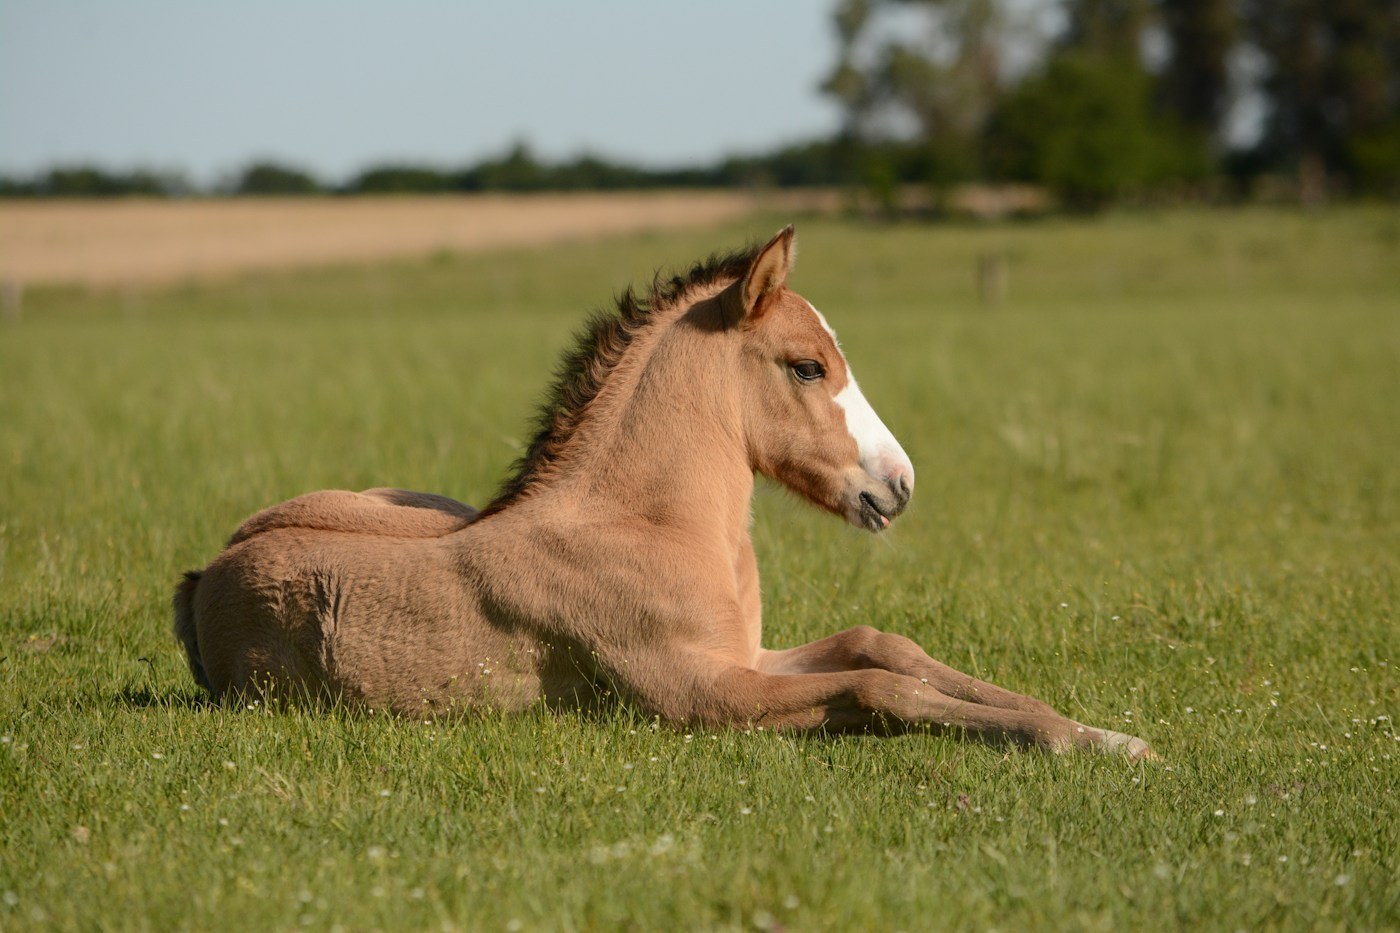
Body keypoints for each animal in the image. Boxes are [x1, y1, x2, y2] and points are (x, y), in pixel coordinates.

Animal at [173, 226, 1153, 759]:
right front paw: (1079, 742)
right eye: (807, 365)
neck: (648, 525)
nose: (898, 484)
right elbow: (882, 689)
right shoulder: (700, 694)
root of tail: (203, 572)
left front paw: (1101, 731)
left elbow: (886, 646)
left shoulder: (747, 656)